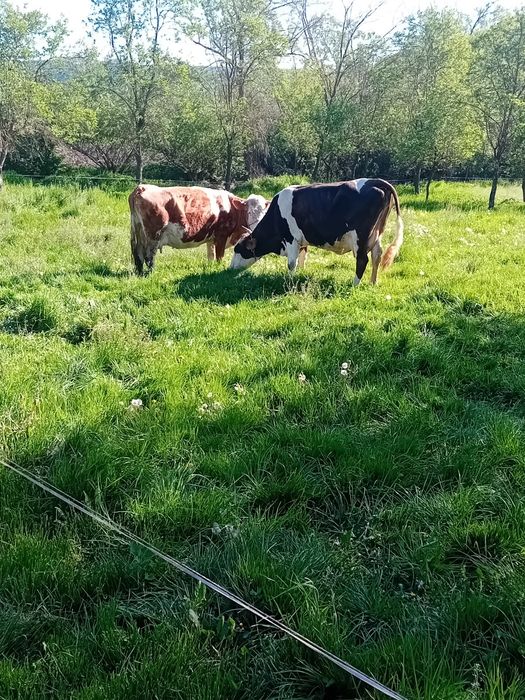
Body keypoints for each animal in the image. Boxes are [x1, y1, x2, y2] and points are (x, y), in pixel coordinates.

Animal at [129, 184, 269, 275]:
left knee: (138, 254)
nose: (257, 225)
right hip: (153, 235)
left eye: (264, 213)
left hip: (138, 231)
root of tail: (142, 187)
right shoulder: (221, 236)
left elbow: (211, 255)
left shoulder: (211, 239)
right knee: (148, 255)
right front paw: (218, 268)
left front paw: (211, 267)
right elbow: (219, 256)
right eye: (249, 212)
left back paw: (140, 273)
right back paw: (152, 273)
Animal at [230, 178, 404, 286]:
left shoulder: (291, 239)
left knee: (363, 260)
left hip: (361, 236)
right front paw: (300, 274)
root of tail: (374, 181)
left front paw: (290, 280)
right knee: (377, 256)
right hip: (377, 234)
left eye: (238, 250)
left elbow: (291, 263)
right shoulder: (302, 240)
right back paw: (373, 282)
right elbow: (302, 257)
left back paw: (355, 284)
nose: (230, 269)